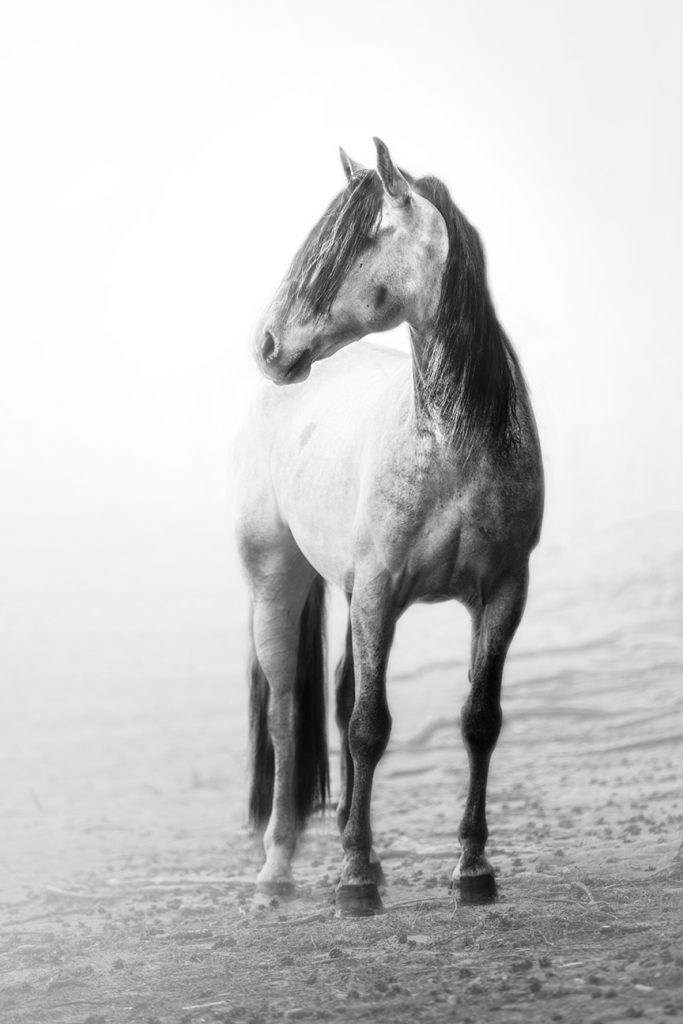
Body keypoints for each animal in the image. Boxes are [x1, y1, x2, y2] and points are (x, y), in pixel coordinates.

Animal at [234, 138, 544, 917]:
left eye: (351, 245)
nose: (267, 343)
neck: (451, 447)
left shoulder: (504, 592)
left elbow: (478, 720)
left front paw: (472, 870)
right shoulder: (379, 590)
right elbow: (368, 727)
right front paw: (354, 883)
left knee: (341, 694)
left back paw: (356, 840)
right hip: (277, 586)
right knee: (288, 718)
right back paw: (277, 874)